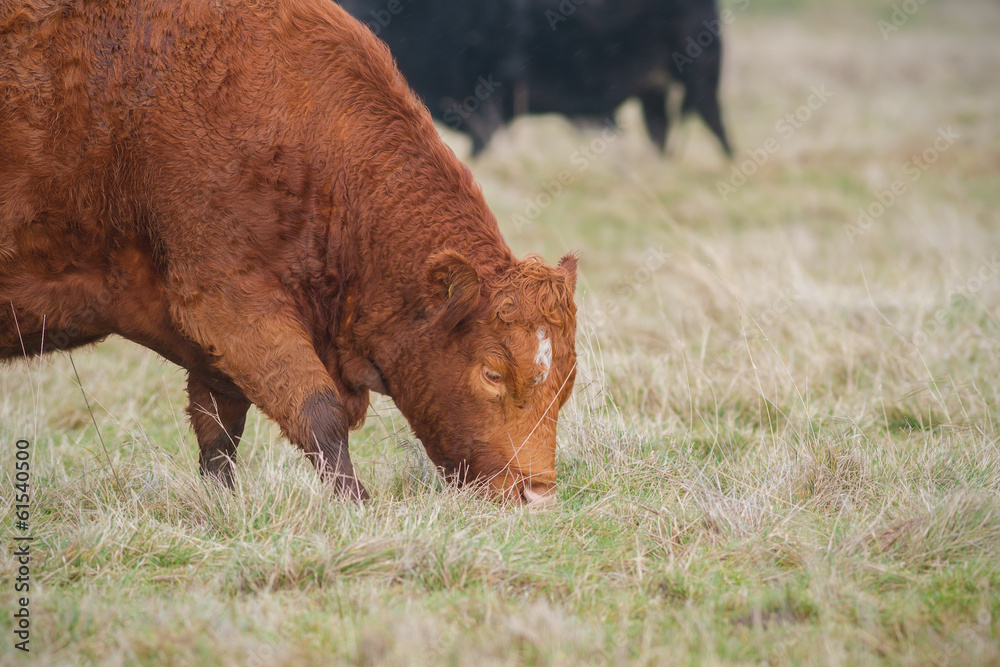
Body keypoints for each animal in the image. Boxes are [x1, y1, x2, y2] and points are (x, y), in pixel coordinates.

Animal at [0, 0, 579, 506]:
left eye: (567, 381)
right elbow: (317, 412)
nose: (537, 496)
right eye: (492, 373)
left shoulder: (213, 349)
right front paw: (359, 508)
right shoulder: (230, 303)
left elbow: (220, 436)